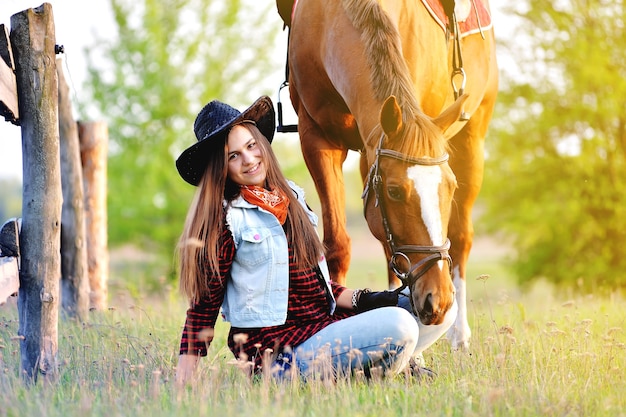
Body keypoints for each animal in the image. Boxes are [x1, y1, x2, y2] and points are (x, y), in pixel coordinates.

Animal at [284, 0, 498, 348]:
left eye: (450, 188)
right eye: (395, 191)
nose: (438, 299)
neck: (329, 17)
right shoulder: (317, 138)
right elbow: (338, 245)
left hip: (472, 138)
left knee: (461, 237)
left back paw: (458, 335)